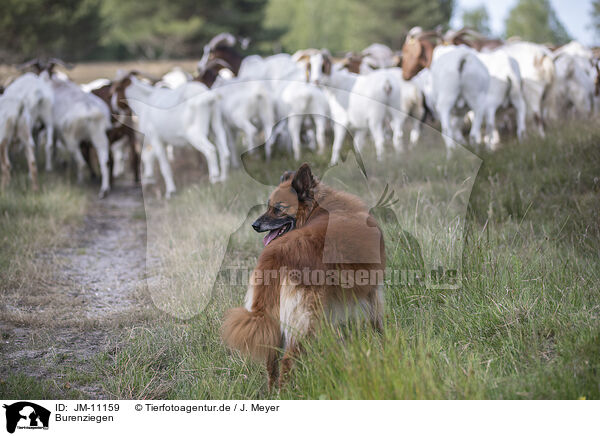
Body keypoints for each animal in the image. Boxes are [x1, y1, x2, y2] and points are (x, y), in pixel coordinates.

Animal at [220, 164, 384, 388]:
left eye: (277, 208)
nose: (254, 225)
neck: (318, 208)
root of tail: (275, 254)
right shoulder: (372, 291)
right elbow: (378, 323)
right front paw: (386, 345)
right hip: (305, 320)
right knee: (288, 360)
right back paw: (287, 391)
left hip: (275, 320)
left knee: (271, 360)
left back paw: (273, 390)